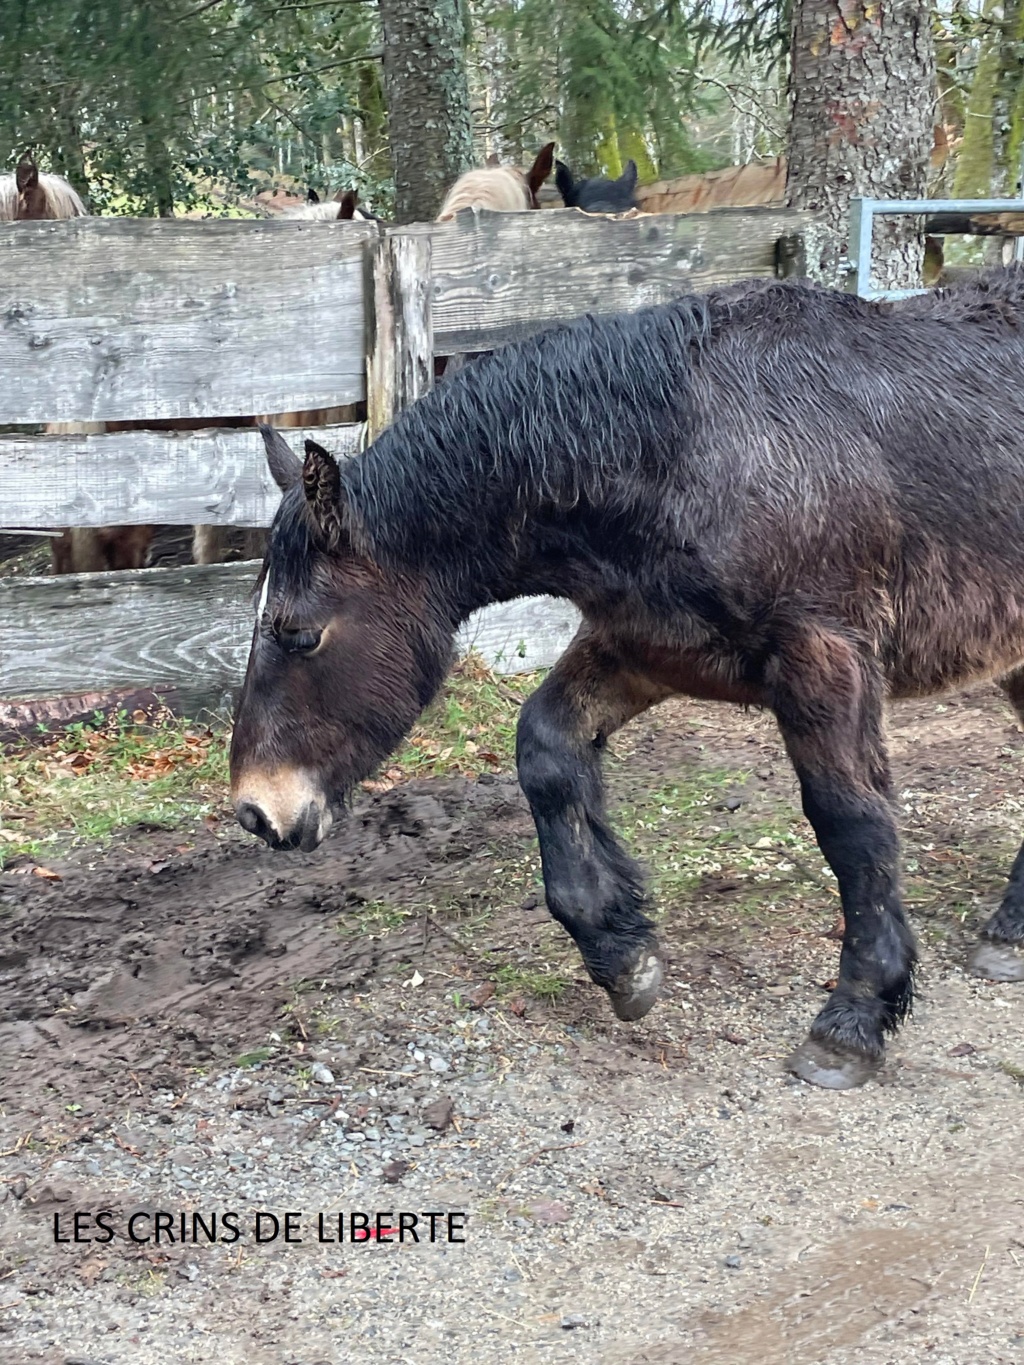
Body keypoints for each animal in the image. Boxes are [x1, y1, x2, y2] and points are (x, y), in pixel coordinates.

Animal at [228, 271, 1024, 1092]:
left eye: (299, 633)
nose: (257, 810)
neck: (689, 451)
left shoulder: (824, 656)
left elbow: (852, 823)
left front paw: (854, 1018)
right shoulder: (641, 650)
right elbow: (545, 751)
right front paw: (620, 951)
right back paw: (1009, 933)